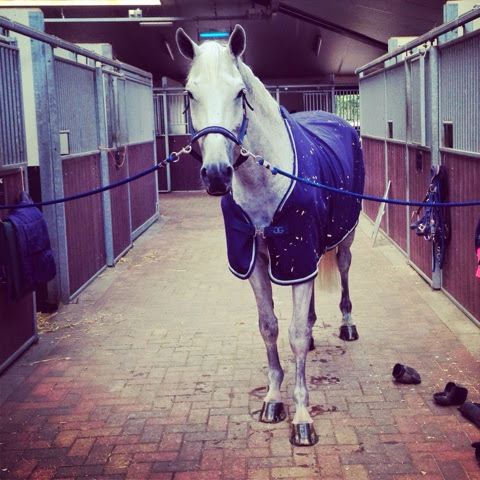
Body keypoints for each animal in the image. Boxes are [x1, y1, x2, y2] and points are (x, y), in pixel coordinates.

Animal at [176, 24, 365, 446]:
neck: (263, 180)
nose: (217, 174)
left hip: (343, 238)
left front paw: (302, 418)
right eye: (190, 92)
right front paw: (274, 400)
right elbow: (271, 327)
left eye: (239, 93)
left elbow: (293, 335)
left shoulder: (296, 255)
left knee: (345, 269)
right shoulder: (258, 262)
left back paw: (347, 324)